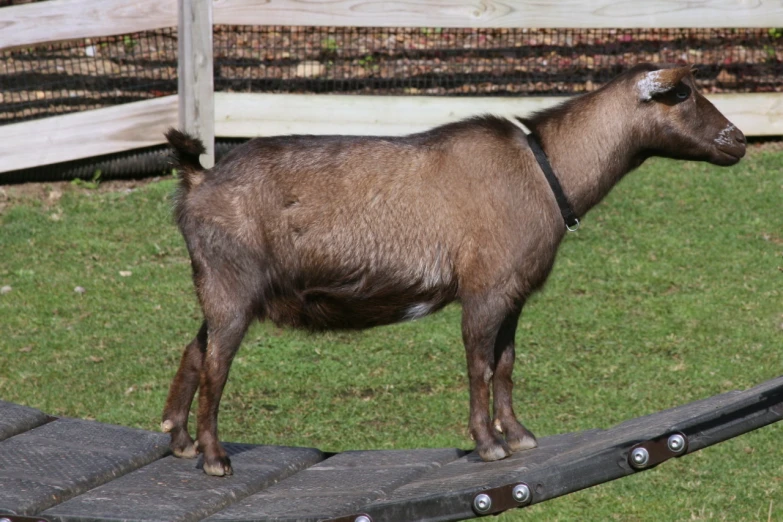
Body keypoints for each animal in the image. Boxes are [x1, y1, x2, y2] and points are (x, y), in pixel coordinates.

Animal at [161, 63, 748, 474]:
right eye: (682, 94)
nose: (738, 141)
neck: (543, 171)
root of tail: (198, 179)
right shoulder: (484, 288)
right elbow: (479, 365)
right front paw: (487, 444)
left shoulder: (514, 293)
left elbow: (506, 364)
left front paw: (519, 434)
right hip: (231, 285)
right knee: (216, 365)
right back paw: (214, 458)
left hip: (219, 289)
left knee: (195, 349)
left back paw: (180, 439)